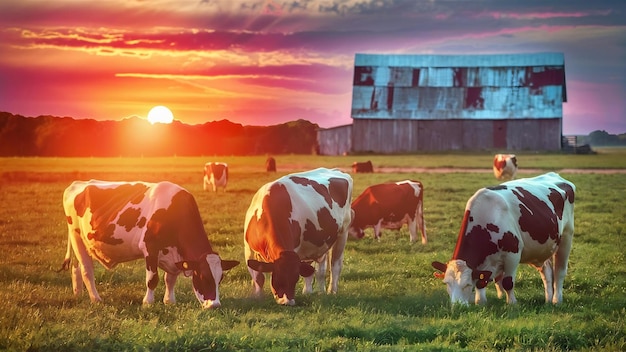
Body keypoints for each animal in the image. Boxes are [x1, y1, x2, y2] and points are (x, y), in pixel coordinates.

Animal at [59, 180, 239, 310]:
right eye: (203, 276)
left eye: (220, 278)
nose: (215, 305)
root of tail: (77, 183)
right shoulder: (150, 248)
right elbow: (153, 278)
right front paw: (148, 302)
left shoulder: (174, 256)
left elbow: (170, 279)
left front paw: (169, 301)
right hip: (77, 236)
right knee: (86, 270)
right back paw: (96, 299)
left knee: (76, 268)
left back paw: (78, 294)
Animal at [243, 168, 352, 306]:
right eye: (277, 278)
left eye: (295, 279)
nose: (288, 302)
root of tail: (336, 170)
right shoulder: (248, 249)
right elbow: (258, 277)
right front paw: (258, 296)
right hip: (322, 241)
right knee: (320, 269)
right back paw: (318, 291)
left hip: (343, 233)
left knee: (335, 265)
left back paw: (330, 291)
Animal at [432, 173, 572, 306]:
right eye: (446, 283)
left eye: (467, 284)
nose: (457, 306)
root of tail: (554, 175)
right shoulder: (483, 264)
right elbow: (481, 282)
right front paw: (480, 302)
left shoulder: (513, 255)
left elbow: (507, 282)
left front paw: (512, 304)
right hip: (543, 248)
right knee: (546, 272)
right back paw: (548, 300)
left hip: (566, 236)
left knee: (559, 272)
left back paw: (556, 300)